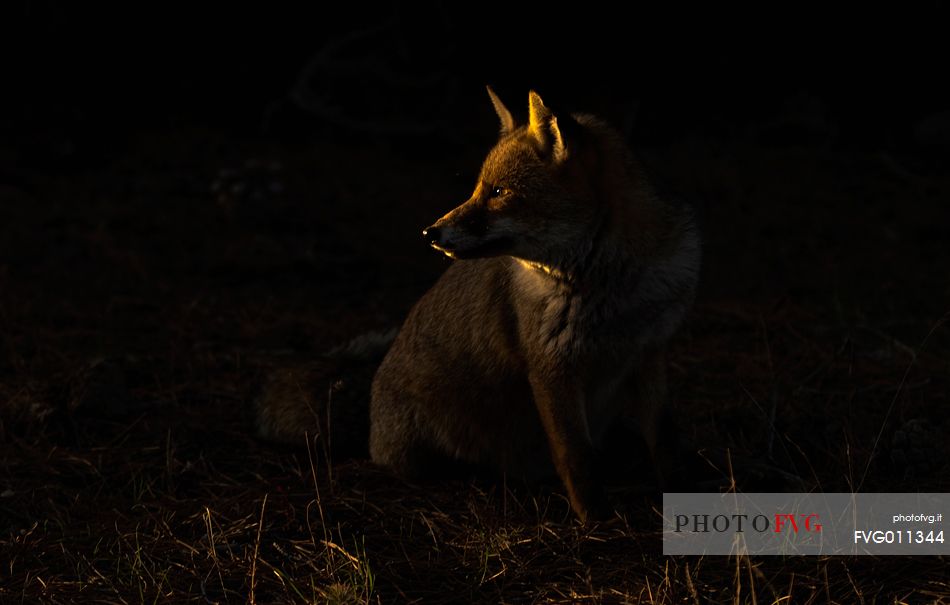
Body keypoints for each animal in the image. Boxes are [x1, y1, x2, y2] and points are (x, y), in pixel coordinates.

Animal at [368, 87, 704, 520]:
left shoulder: (648, 352)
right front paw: (594, 520)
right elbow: (576, 456)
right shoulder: (550, 368)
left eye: (498, 192)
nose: (429, 232)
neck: (611, 295)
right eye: (478, 189)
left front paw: (680, 496)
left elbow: (664, 442)